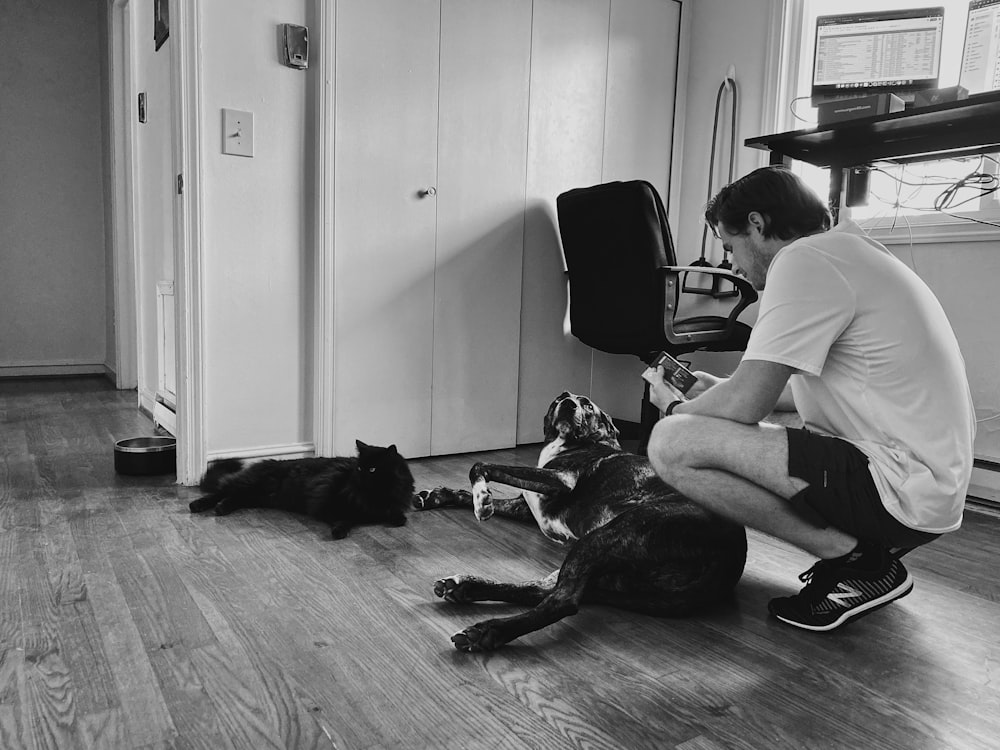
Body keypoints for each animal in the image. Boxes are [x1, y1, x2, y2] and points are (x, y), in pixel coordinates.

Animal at [188, 440, 414, 540]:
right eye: (359, 468)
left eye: (373, 469)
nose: (359, 477)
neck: (374, 496)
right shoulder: (330, 505)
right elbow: (346, 518)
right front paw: (339, 531)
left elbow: (396, 513)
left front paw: (398, 518)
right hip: (250, 485)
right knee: (220, 492)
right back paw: (198, 505)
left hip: (255, 496)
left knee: (232, 497)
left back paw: (221, 508)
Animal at [410, 394, 748, 652]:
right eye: (560, 397)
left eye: (588, 406)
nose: (569, 404)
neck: (567, 442)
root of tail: (732, 559)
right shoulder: (527, 506)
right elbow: (474, 490)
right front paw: (441, 496)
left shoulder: (561, 480)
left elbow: (480, 464)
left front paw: (482, 498)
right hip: (607, 565)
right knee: (541, 590)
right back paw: (466, 587)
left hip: (609, 535)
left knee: (564, 600)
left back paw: (488, 631)